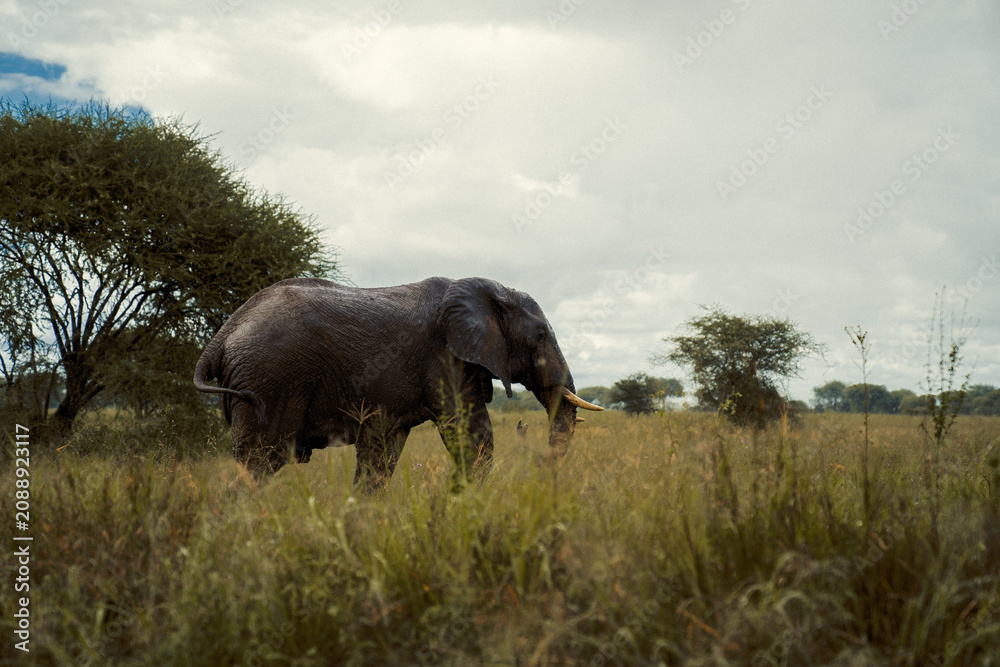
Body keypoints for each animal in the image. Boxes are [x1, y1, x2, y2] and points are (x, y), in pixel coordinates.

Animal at [193, 276, 603, 490]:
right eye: (539, 336)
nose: (523, 424)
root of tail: (223, 333)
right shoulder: (445, 359)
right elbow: (474, 435)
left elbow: (381, 455)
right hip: (271, 380)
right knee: (260, 463)